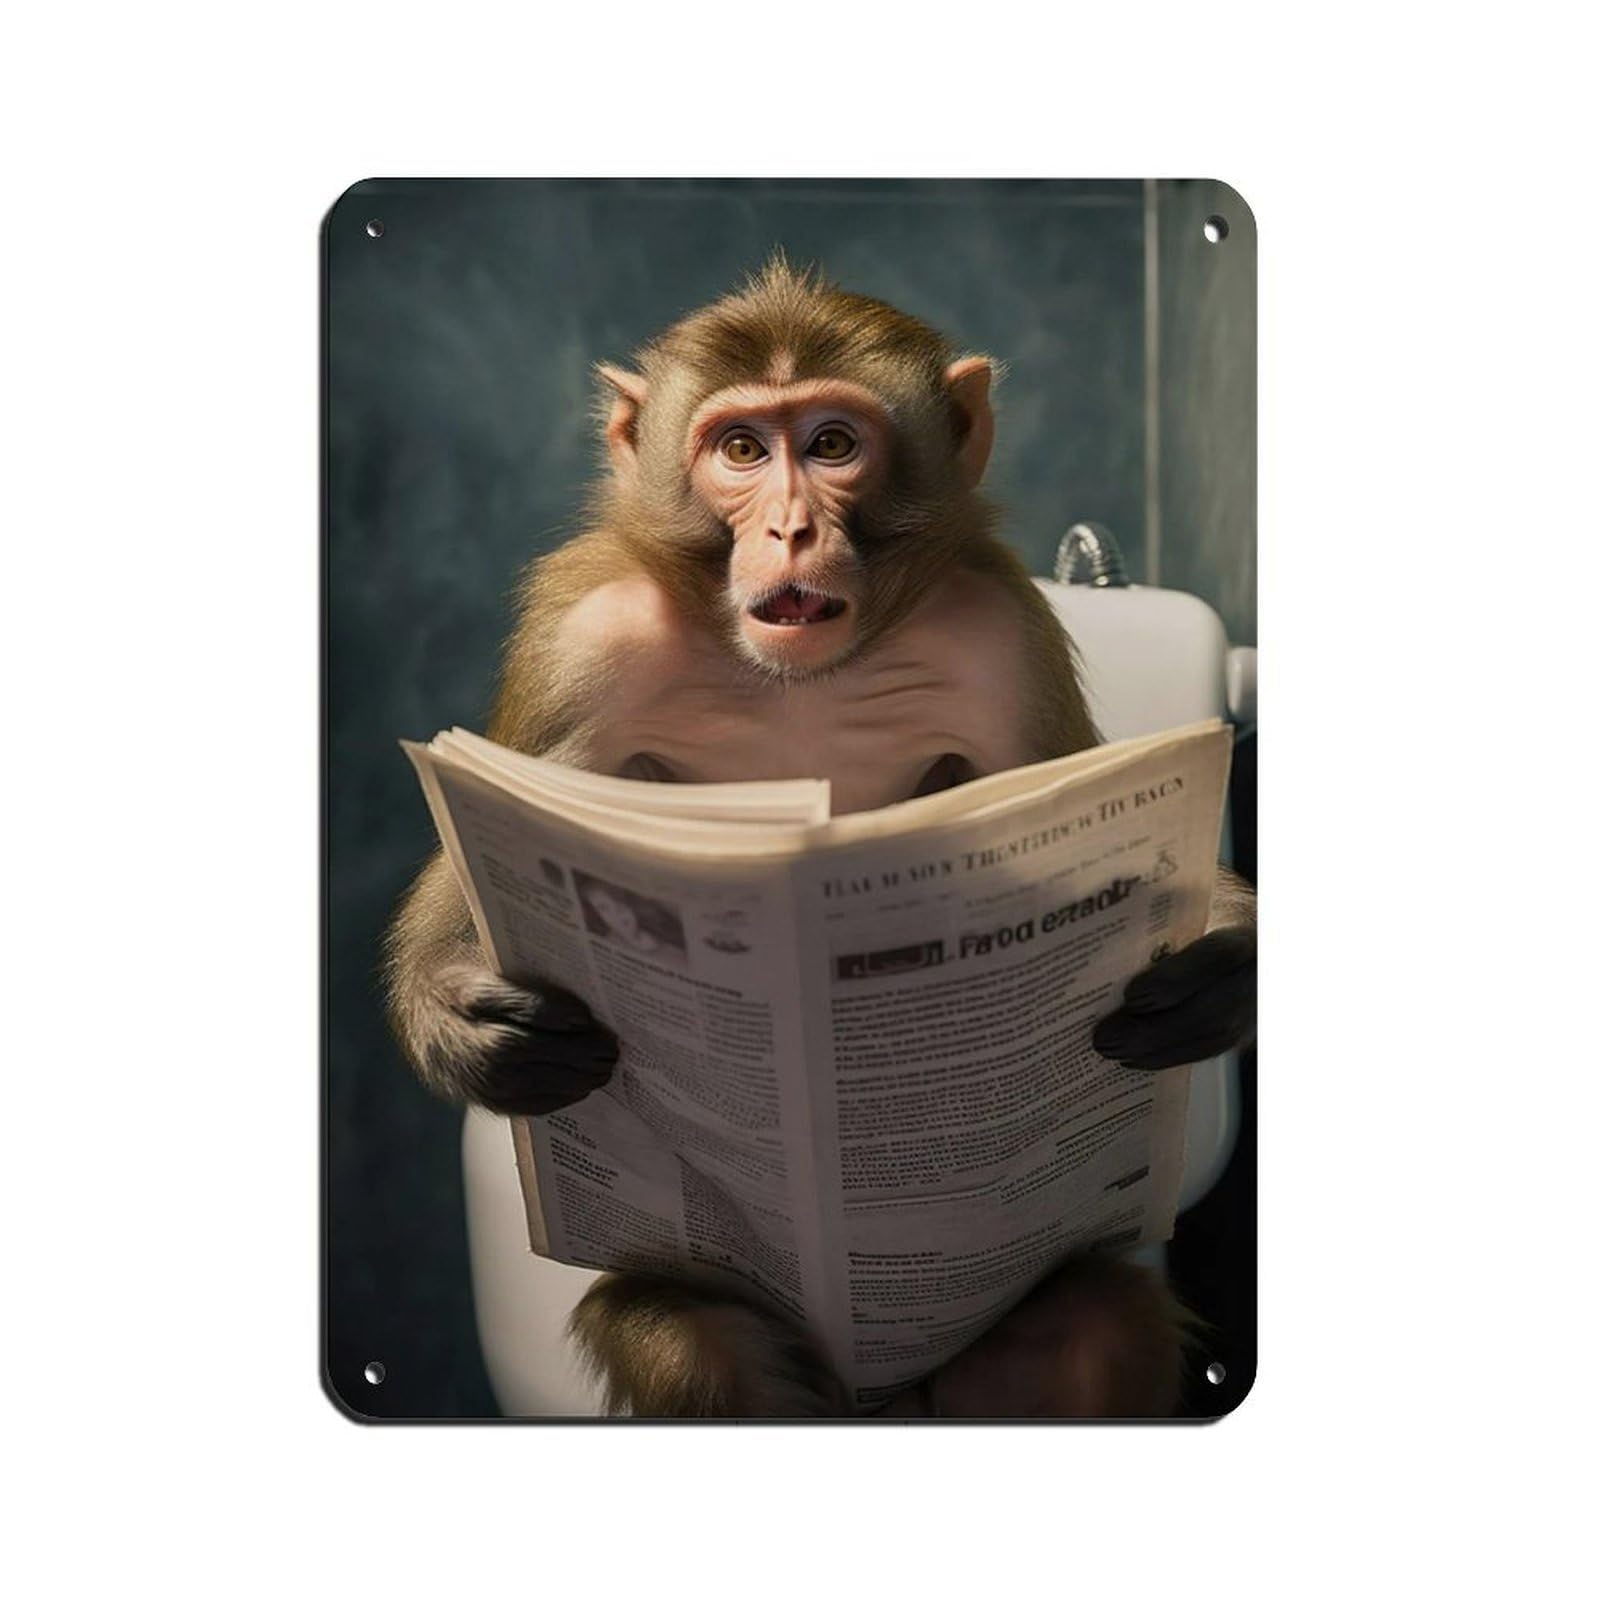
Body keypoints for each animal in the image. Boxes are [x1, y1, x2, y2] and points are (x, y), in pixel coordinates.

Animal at [386, 257, 1256, 1418]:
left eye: (834, 443)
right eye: (744, 449)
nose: (792, 530)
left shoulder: (1001, 637)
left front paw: (1221, 970)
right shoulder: (581, 639)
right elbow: (475, 852)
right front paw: (463, 1021)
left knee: (1087, 1324)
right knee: (694, 1333)